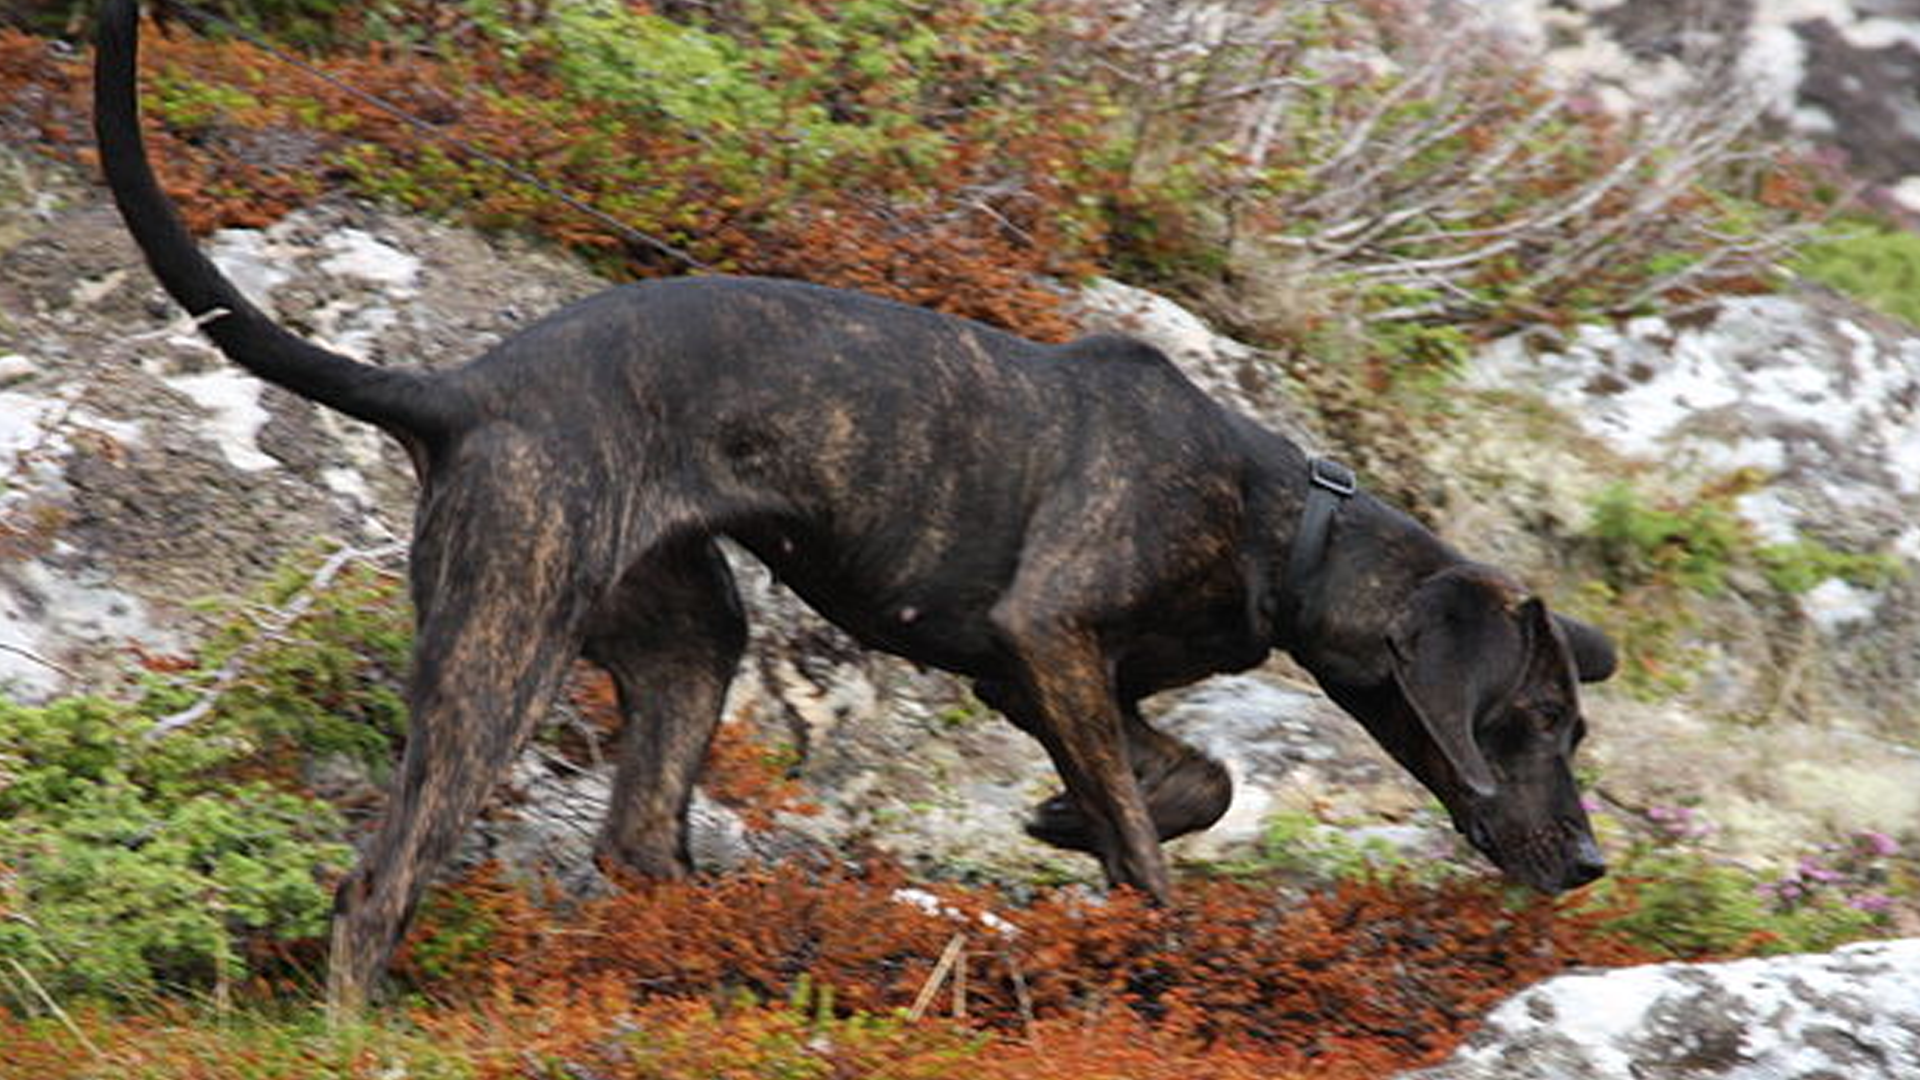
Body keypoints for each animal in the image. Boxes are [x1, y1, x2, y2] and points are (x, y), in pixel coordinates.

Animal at [93, 0, 1620, 1006]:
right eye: (1531, 719)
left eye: (1570, 720)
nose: (1599, 863)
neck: (1282, 524)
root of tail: (462, 394)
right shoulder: (1051, 637)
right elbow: (1152, 834)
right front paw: (1145, 920)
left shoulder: (1035, 672)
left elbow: (1191, 775)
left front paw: (1069, 822)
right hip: (503, 645)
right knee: (379, 886)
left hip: (684, 636)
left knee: (638, 837)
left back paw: (748, 946)